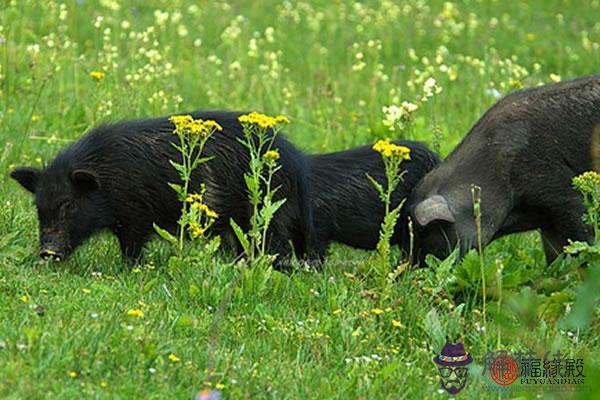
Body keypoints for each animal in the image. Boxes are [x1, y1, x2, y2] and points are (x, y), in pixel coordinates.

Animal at [10, 111, 314, 264]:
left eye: (69, 204)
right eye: (38, 207)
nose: (47, 252)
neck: (107, 180)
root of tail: (297, 165)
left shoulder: (135, 216)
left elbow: (132, 246)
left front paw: (131, 268)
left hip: (266, 213)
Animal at [408, 75, 600, 264]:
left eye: (425, 232)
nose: (411, 269)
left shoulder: (561, 191)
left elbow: (580, 240)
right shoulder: (547, 222)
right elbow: (555, 255)